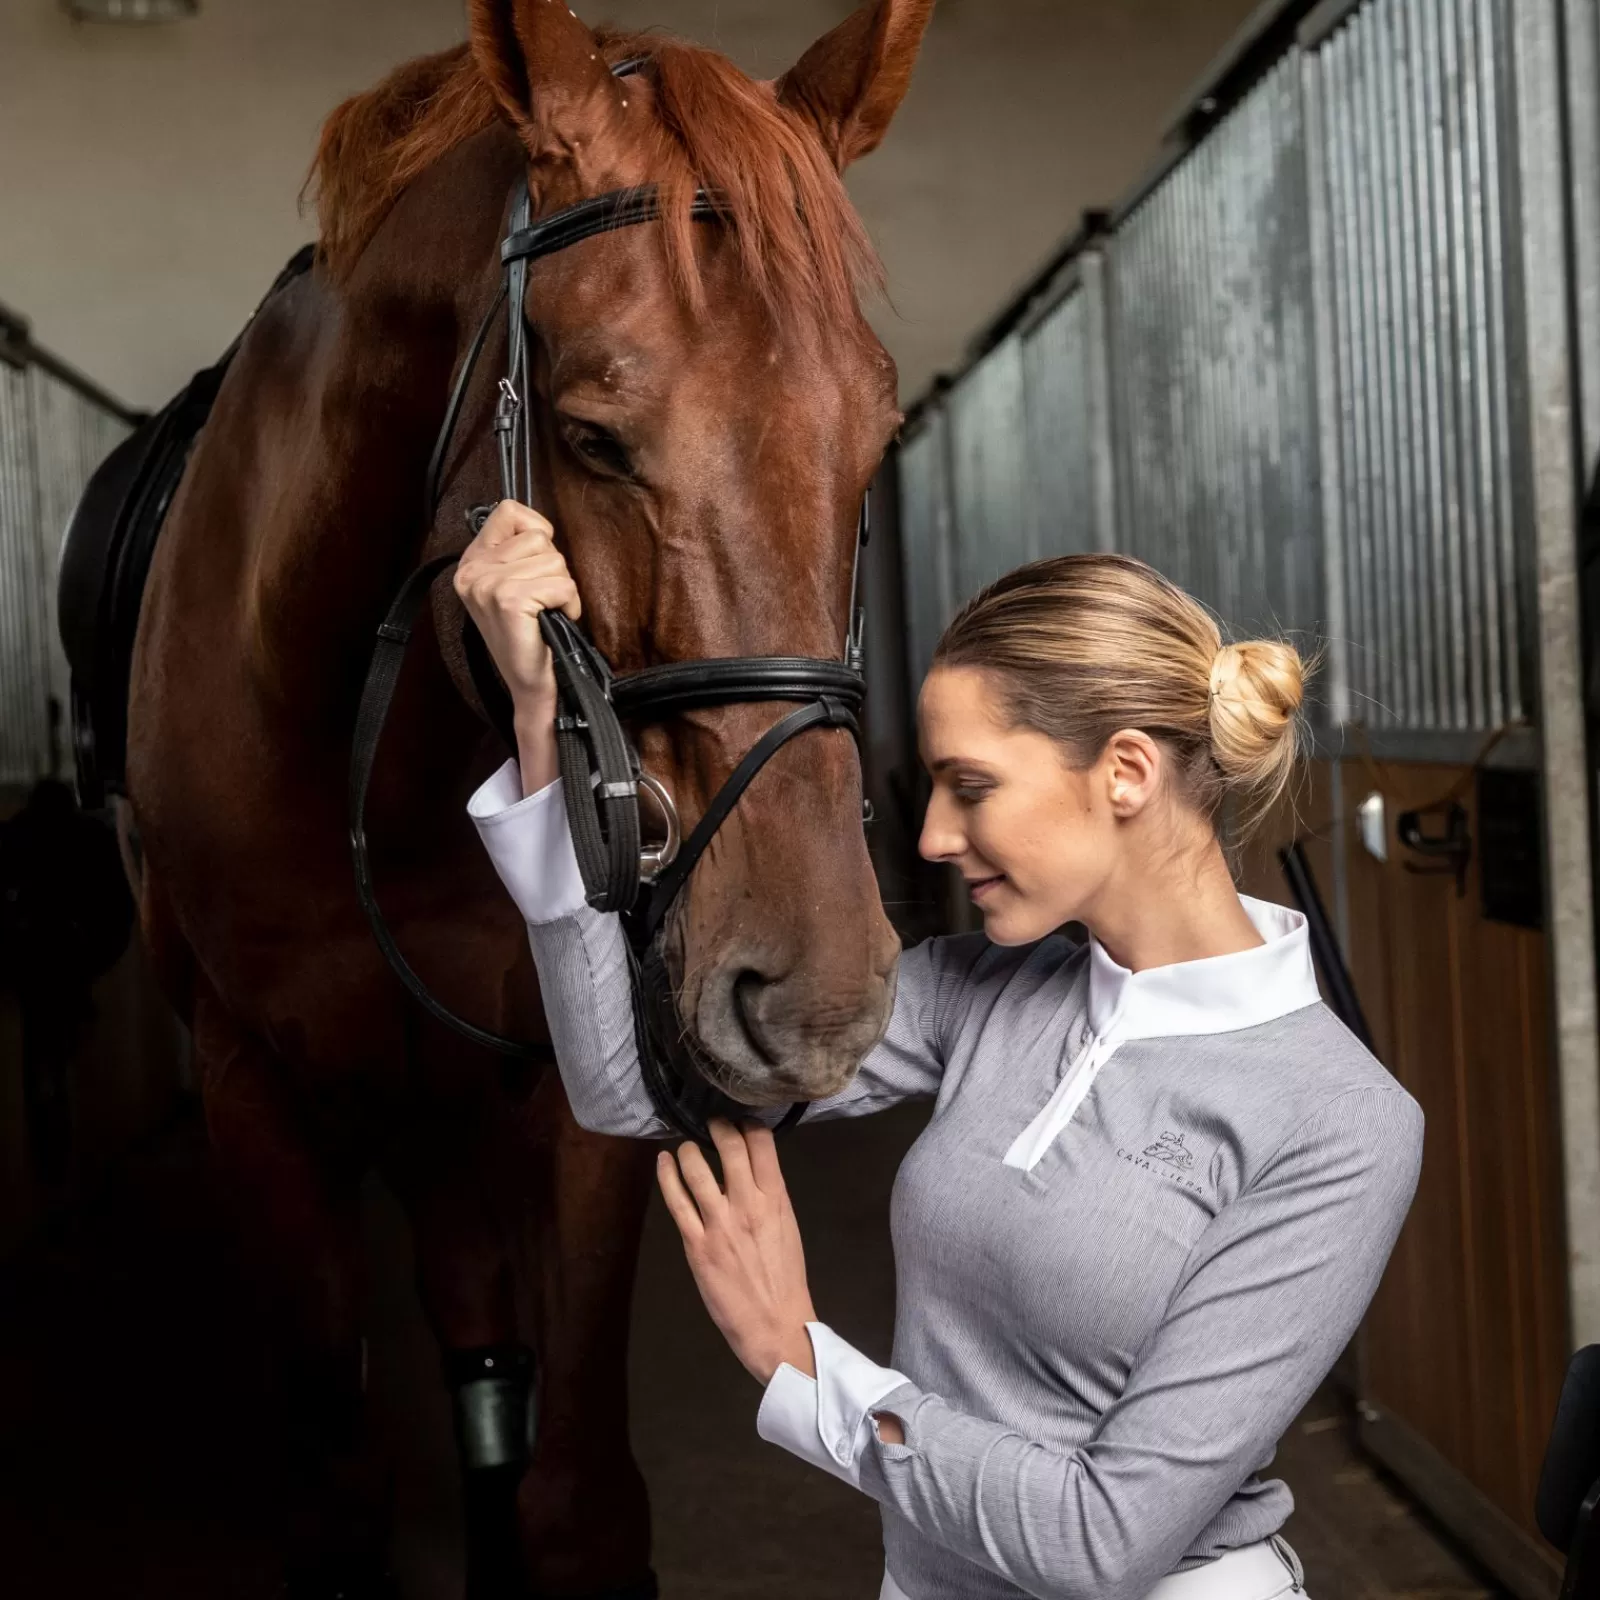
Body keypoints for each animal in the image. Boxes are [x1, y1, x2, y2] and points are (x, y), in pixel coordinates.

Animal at [128, 3, 934, 1600]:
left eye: (873, 438)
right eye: (595, 433)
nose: (816, 999)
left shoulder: (580, 1069)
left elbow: (575, 1499)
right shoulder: (257, 1089)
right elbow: (342, 1483)